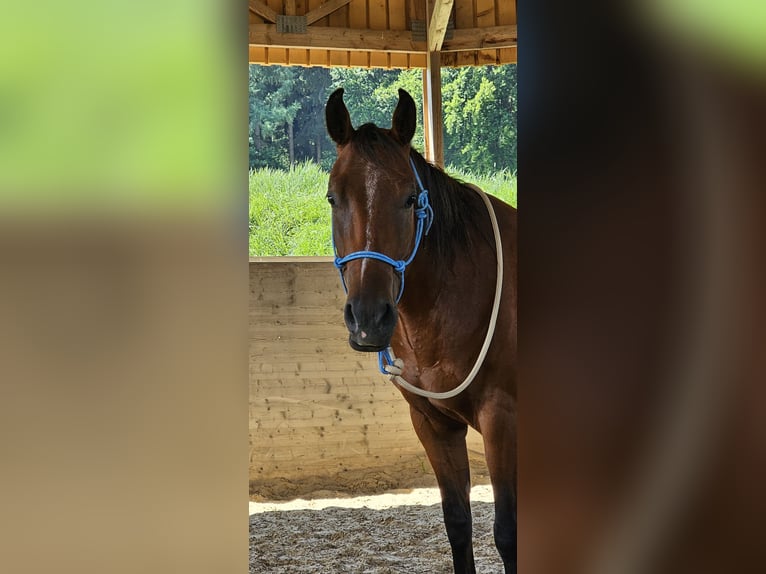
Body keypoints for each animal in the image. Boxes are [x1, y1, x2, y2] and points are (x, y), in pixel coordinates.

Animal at [324, 87, 517, 574]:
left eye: (411, 198)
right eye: (334, 198)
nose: (369, 319)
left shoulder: (502, 419)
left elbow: (508, 533)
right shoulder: (432, 423)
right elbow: (458, 523)